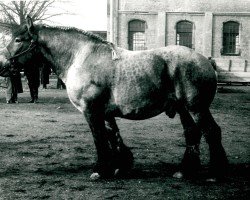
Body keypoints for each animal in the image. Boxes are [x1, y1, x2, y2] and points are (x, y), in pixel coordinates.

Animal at [3, 16, 229, 180]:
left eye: (18, 40)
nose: (3, 65)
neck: (81, 58)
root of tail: (205, 62)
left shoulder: (91, 111)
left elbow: (100, 138)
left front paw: (101, 170)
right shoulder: (105, 112)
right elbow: (113, 136)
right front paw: (121, 165)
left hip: (196, 107)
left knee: (211, 132)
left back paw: (215, 173)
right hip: (184, 109)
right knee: (192, 133)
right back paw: (184, 170)